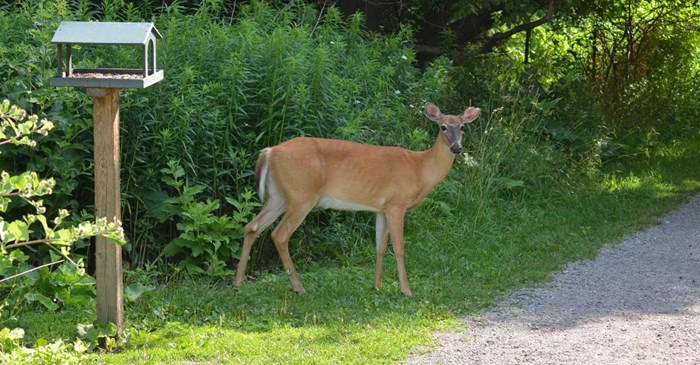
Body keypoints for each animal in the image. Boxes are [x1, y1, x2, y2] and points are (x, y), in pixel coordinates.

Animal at [235, 101, 482, 294]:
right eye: (443, 126)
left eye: (462, 127)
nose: (456, 148)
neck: (419, 169)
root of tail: (269, 152)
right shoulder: (397, 204)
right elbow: (399, 247)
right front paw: (406, 290)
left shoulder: (381, 208)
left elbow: (380, 246)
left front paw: (377, 286)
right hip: (301, 196)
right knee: (279, 234)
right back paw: (299, 287)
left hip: (278, 197)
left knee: (252, 227)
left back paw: (238, 283)